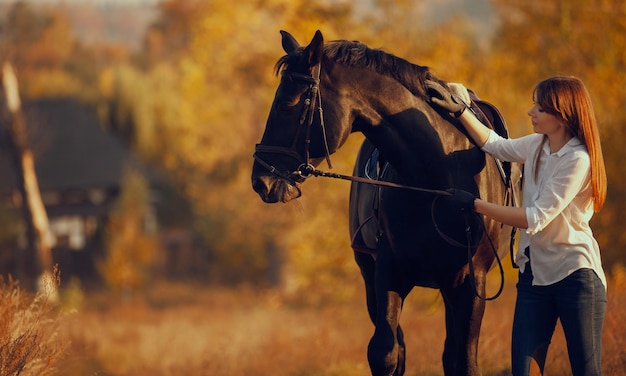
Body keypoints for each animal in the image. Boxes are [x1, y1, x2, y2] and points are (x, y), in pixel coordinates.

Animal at [249, 30, 516, 376]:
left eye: (286, 104)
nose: (260, 180)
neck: (437, 176)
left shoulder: (471, 282)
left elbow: (465, 362)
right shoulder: (388, 273)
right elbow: (385, 353)